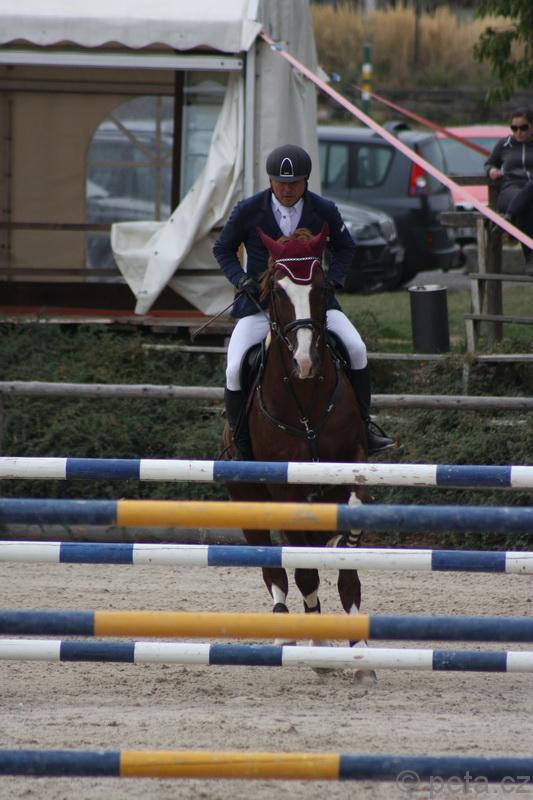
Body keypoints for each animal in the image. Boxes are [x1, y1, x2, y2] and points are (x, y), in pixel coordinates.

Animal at [222, 224, 374, 679]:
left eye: (322, 288)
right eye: (276, 291)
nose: (305, 362)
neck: (306, 399)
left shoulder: (353, 459)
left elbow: (347, 565)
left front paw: (360, 655)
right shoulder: (284, 490)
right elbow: (305, 572)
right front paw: (322, 650)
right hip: (249, 502)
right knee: (274, 567)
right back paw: (287, 632)